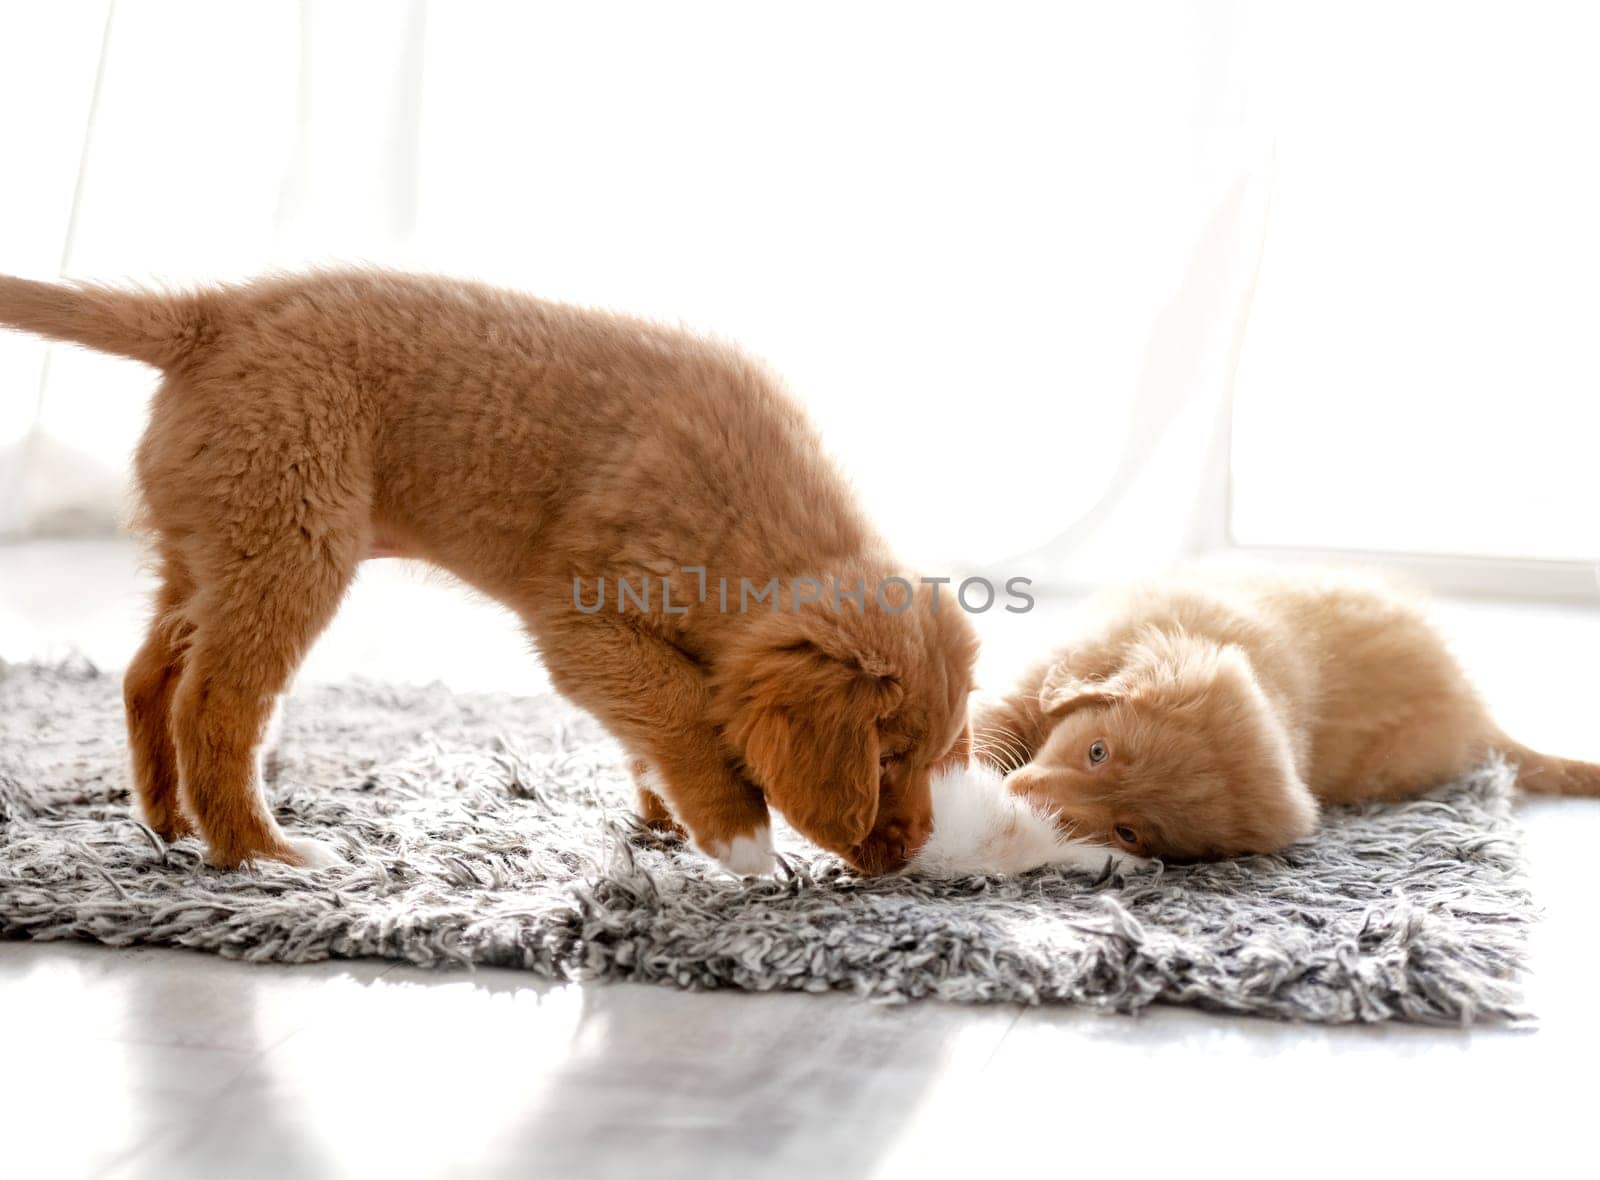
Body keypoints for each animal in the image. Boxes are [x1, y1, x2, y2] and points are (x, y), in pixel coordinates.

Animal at [0, 268, 979, 876]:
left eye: (934, 757)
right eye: (886, 758)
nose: (911, 858)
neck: (753, 527)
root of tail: (211, 315)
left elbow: (664, 713)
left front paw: (667, 811)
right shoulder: (579, 621)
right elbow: (680, 703)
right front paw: (738, 834)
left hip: (215, 545)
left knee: (147, 674)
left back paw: (167, 821)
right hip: (290, 543)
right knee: (213, 704)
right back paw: (262, 852)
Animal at [972, 566, 1600, 857]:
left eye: (1129, 832)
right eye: (1097, 751)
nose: (1024, 801)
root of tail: (1476, 711)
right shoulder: (1049, 672)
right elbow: (993, 722)